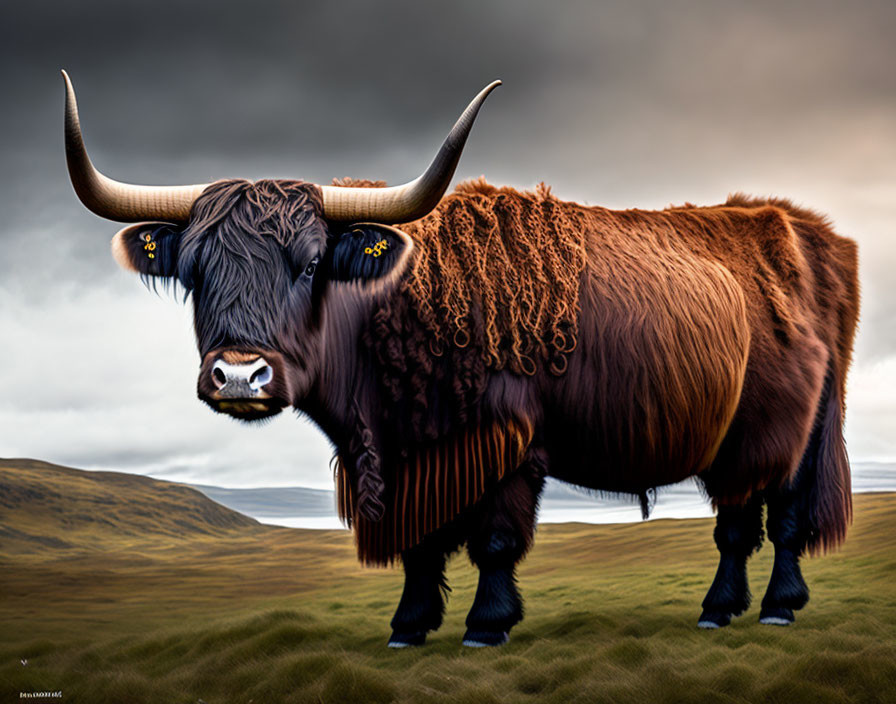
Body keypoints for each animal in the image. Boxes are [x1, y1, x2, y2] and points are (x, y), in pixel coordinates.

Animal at [59, 73, 856, 648]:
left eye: (311, 264)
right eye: (195, 272)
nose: (237, 377)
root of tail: (807, 232)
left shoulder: (507, 445)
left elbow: (495, 541)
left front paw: (486, 626)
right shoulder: (411, 460)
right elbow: (419, 548)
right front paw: (408, 628)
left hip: (792, 430)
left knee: (774, 517)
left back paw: (768, 608)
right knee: (738, 521)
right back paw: (724, 609)